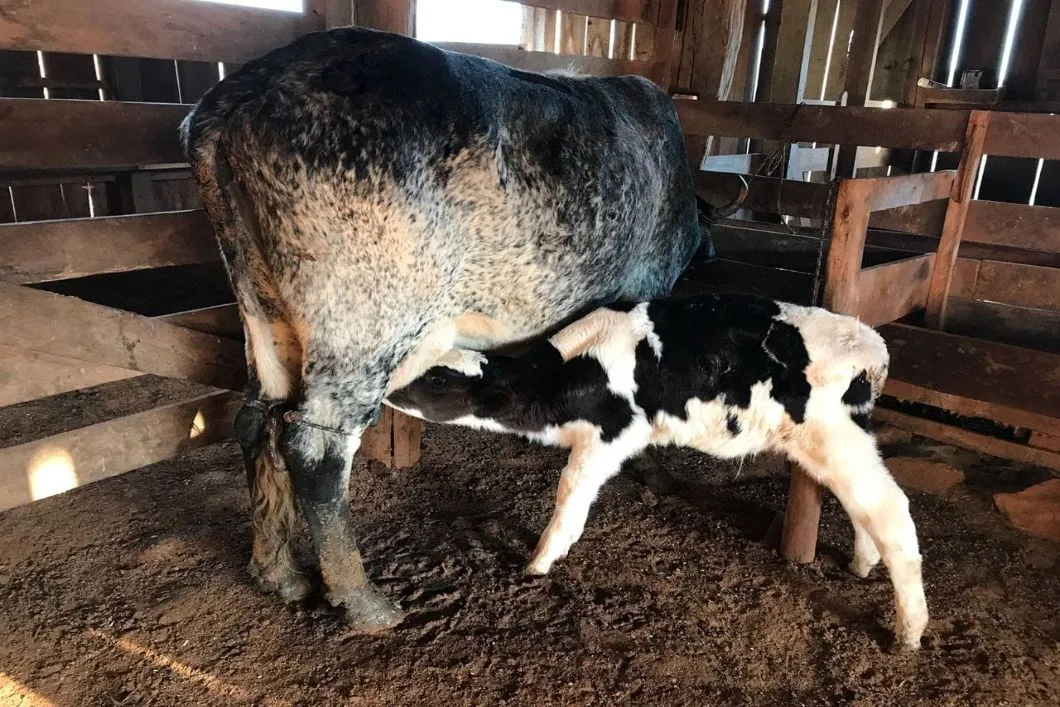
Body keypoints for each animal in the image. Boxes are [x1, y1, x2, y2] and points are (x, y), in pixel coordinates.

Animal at [180, 26, 714, 630]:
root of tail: (237, 96)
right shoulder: (642, 294)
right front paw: (655, 471)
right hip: (363, 328)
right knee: (315, 447)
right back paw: (362, 599)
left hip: (262, 312)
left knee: (257, 421)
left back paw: (277, 571)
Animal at [387, 292, 929, 651]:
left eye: (437, 379)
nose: (383, 389)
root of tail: (870, 343)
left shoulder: (610, 436)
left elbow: (570, 496)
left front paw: (539, 561)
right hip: (837, 444)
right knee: (864, 507)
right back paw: (862, 564)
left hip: (834, 438)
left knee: (892, 512)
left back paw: (909, 631)